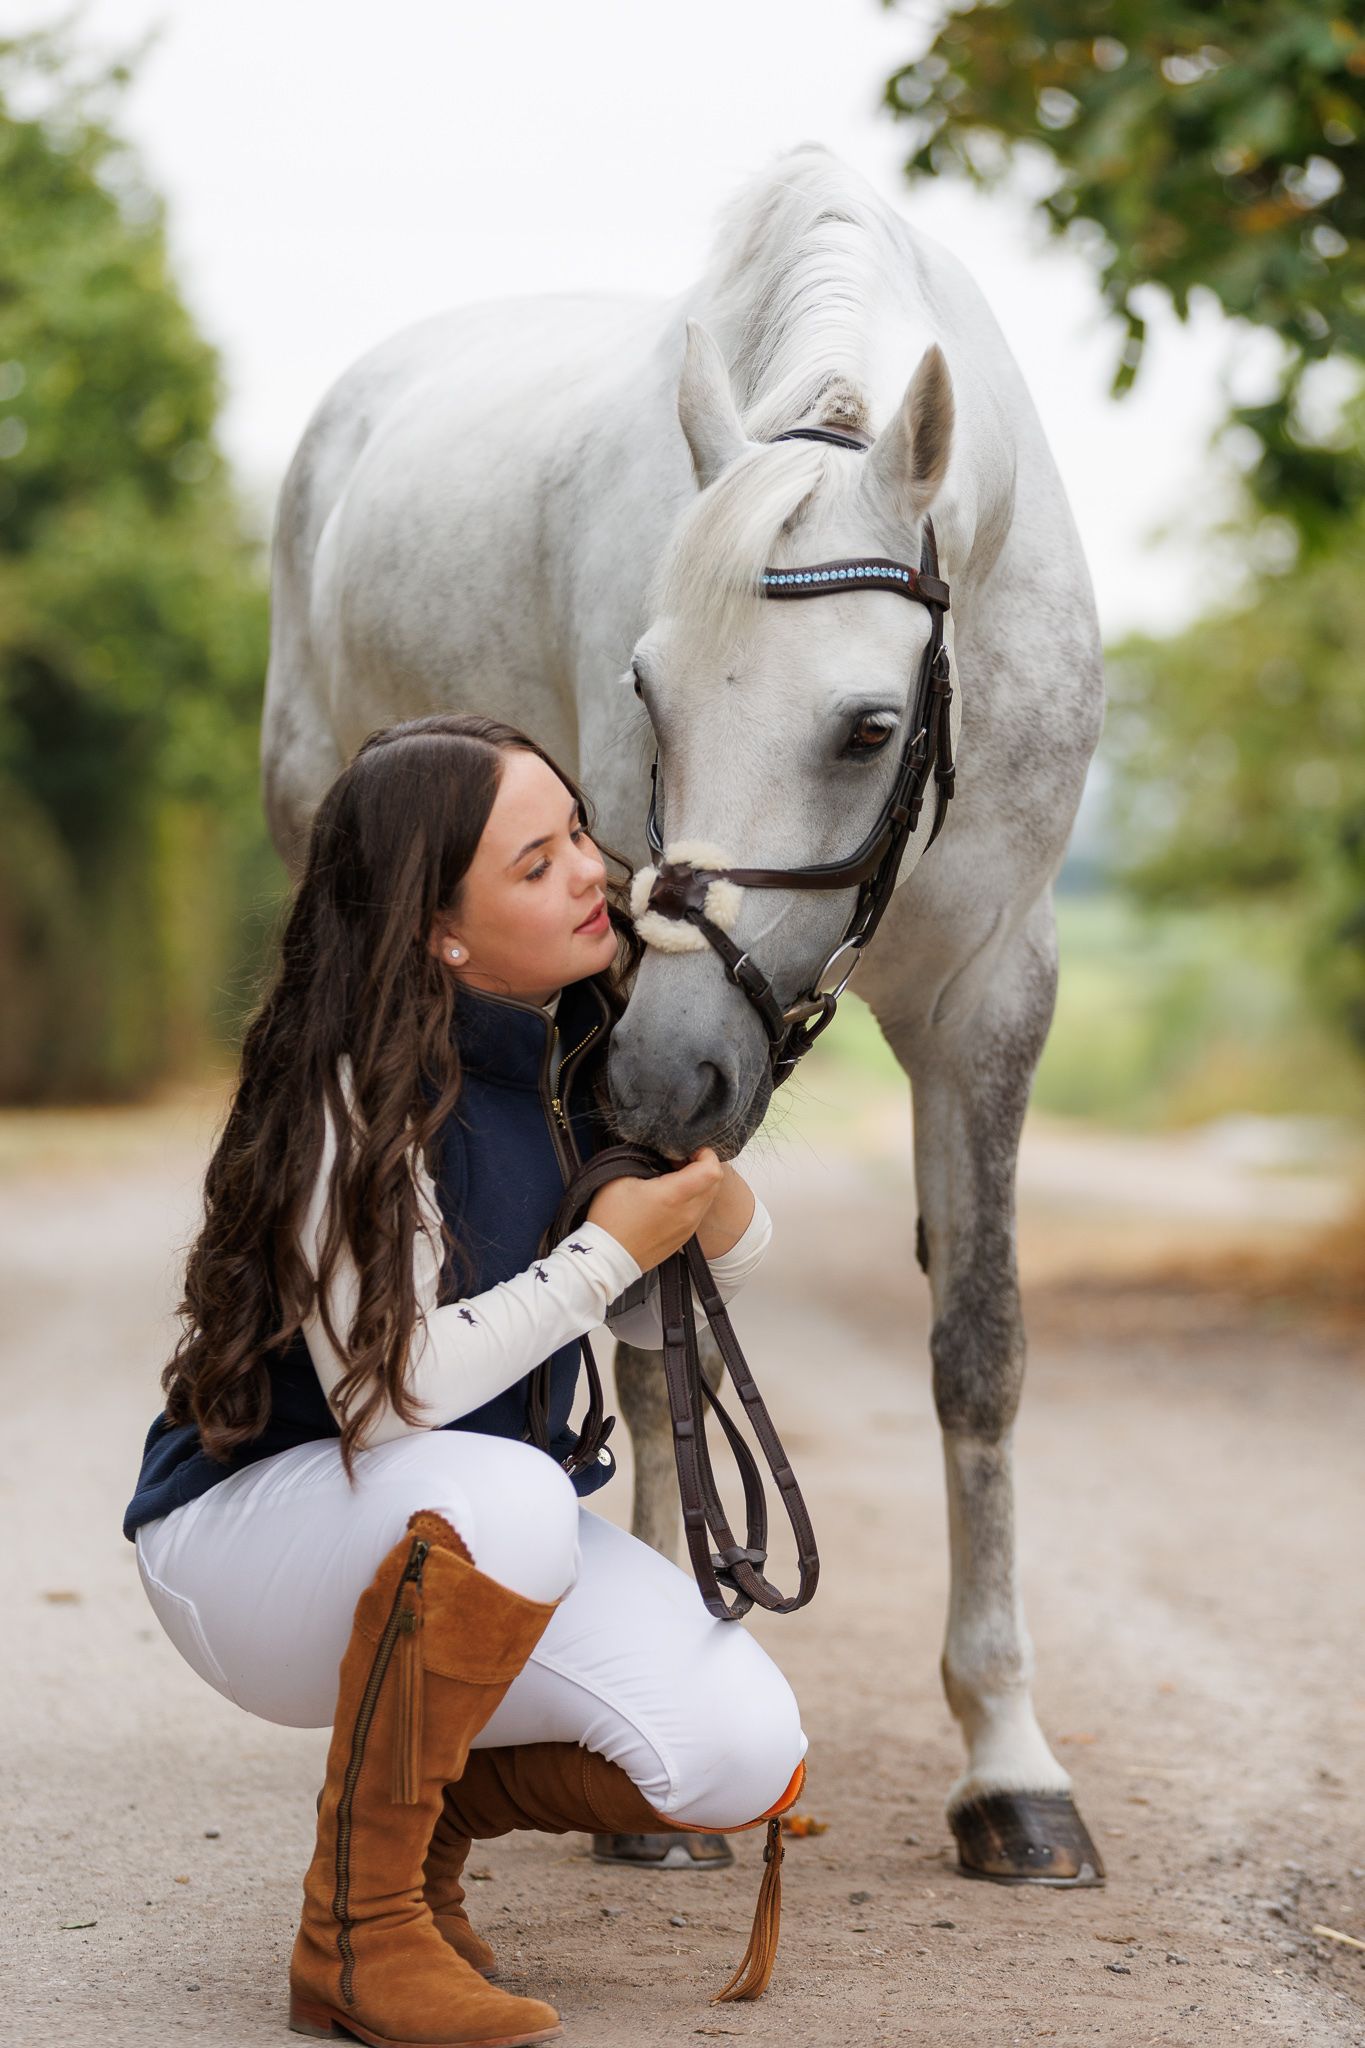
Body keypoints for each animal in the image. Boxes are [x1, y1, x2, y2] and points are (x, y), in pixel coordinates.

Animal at [260, 142, 1106, 1886]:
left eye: (866, 726)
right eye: (646, 693)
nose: (673, 1071)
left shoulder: (994, 986)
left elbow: (976, 1350)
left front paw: (1010, 1770)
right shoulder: (608, 1008)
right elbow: (653, 1351)